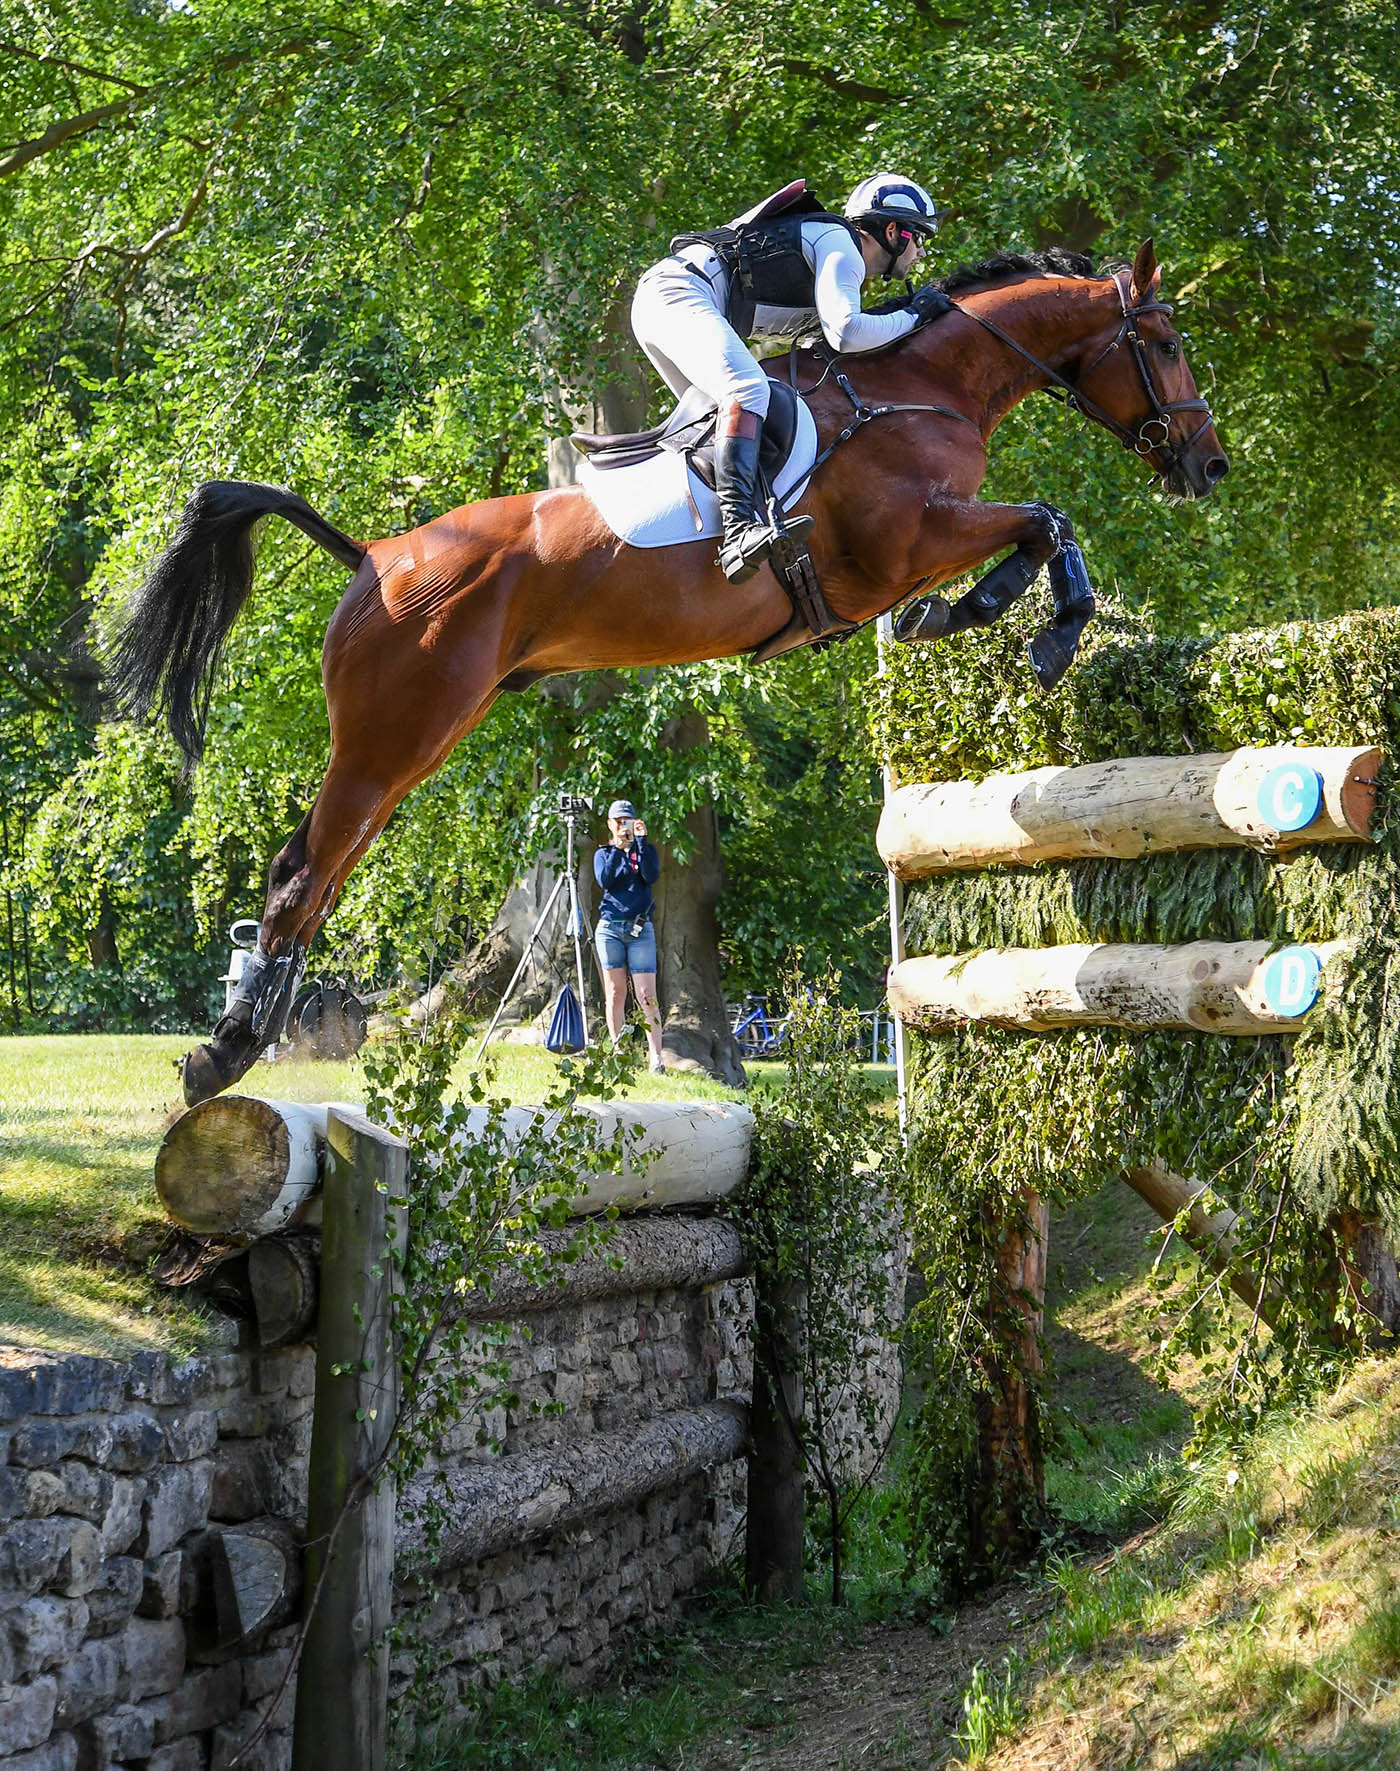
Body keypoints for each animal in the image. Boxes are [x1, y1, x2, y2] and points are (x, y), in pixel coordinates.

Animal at [112, 235, 1224, 1090]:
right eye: (1164, 342)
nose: (1207, 466)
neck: (918, 390)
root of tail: (378, 556)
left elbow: (1039, 523)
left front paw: (978, 612)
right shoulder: (905, 541)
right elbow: (1045, 517)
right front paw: (1034, 624)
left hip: (415, 742)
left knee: (320, 875)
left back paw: (241, 1043)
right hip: (395, 734)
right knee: (302, 872)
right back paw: (222, 1056)